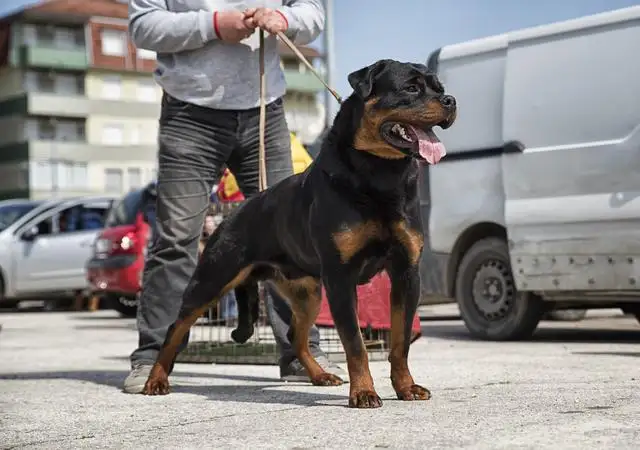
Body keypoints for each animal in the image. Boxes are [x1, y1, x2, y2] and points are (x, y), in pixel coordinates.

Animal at [143, 59, 458, 408]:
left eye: (439, 89)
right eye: (411, 88)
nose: (450, 101)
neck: (381, 174)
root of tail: (231, 213)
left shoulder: (406, 273)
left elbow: (400, 343)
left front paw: (406, 387)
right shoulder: (340, 278)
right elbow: (355, 344)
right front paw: (363, 392)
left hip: (308, 292)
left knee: (296, 335)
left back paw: (320, 375)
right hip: (213, 278)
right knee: (175, 327)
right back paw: (155, 379)